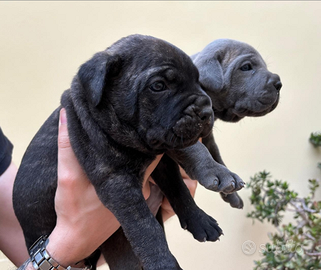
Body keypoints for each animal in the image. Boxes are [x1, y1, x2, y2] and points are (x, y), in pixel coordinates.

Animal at [12, 34, 225, 268]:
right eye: (158, 86)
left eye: (198, 81)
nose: (206, 111)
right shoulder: (118, 185)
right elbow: (146, 228)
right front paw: (163, 263)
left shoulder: (162, 164)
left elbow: (179, 190)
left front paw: (200, 221)